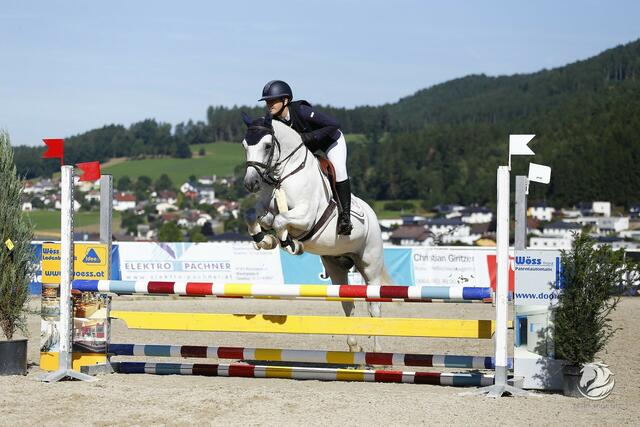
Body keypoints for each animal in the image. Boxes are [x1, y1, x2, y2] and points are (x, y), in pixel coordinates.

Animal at [240, 113, 390, 352]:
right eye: (245, 145)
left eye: (267, 145)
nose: (251, 183)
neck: (284, 175)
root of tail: (373, 216)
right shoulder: (264, 208)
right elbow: (255, 216)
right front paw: (265, 240)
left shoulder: (306, 216)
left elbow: (281, 220)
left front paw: (291, 244)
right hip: (336, 266)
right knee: (347, 304)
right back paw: (354, 347)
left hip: (370, 264)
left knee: (374, 306)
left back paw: (377, 352)